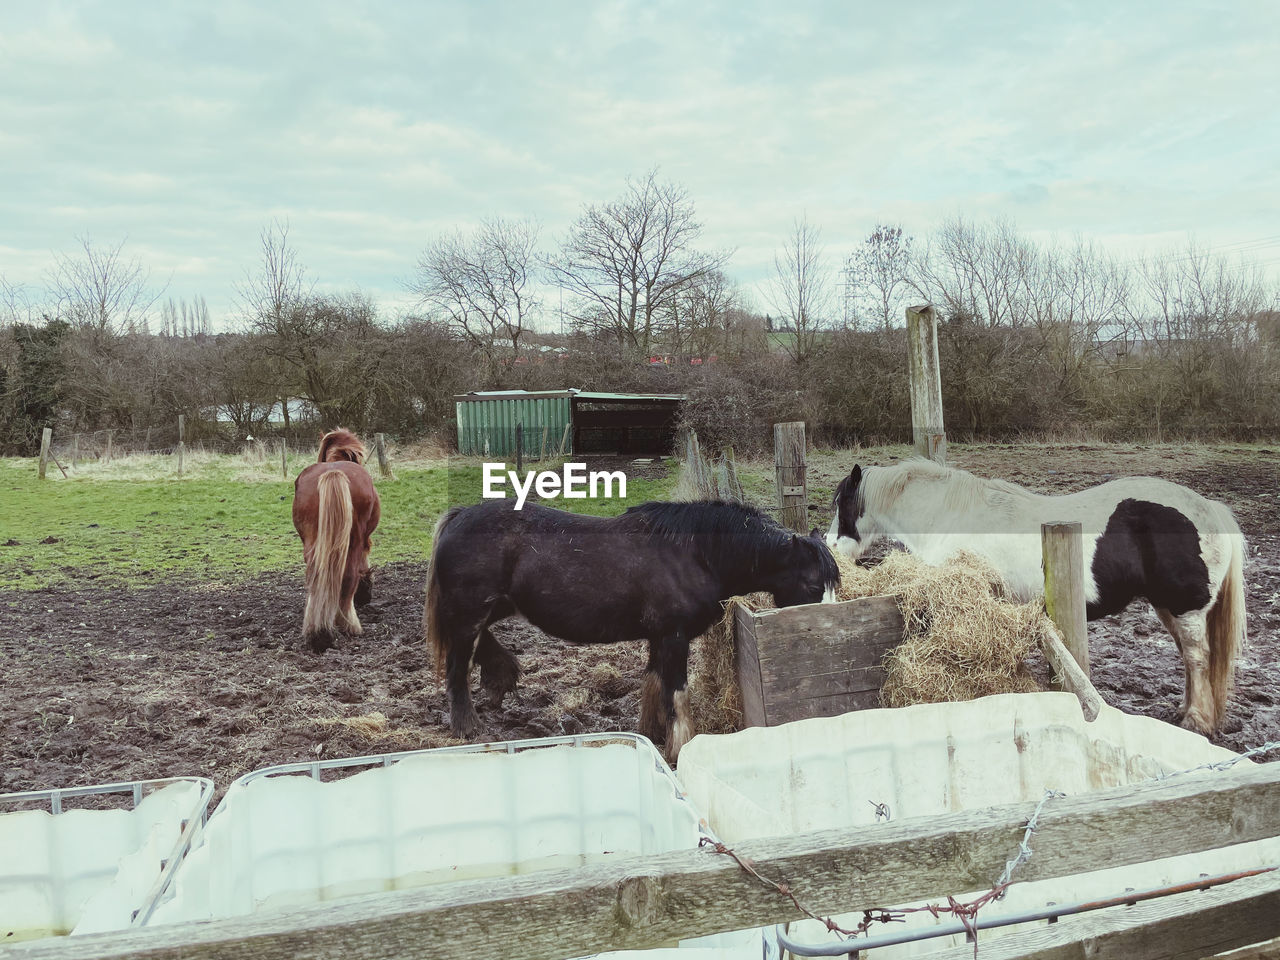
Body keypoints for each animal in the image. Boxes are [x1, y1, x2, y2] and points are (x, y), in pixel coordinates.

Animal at [293, 430, 381, 650]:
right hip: (354, 539)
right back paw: (349, 624)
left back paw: (316, 631)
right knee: (349, 575)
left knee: (315, 576)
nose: (365, 599)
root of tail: (333, 472)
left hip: (312, 542)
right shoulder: (363, 539)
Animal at [422, 499, 839, 757]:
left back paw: (500, 677)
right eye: (812, 585)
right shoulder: (674, 637)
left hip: (494, 607)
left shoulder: (660, 638)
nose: (824, 633)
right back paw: (468, 726)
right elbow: (676, 694)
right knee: (457, 668)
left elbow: (654, 685)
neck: (694, 553)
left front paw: (653, 735)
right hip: (469, 612)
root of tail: (459, 516)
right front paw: (680, 745)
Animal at [824, 458, 1244, 737]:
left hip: (1185, 609)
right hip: (1169, 609)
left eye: (842, 505)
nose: (830, 546)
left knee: (1197, 658)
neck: (949, 517)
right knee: (1190, 660)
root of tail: (1210, 509)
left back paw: (1196, 721)